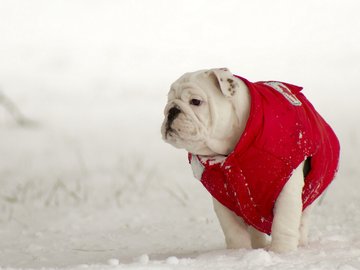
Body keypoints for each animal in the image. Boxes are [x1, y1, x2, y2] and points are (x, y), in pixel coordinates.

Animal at [162, 67, 338, 253]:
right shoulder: (223, 197)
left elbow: (283, 222)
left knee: (302, 219)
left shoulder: (287, 184)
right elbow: (233, 229)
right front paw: (237, 252)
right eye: (169, 100)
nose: (171, 110)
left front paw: (281, 252)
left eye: (195, 101)